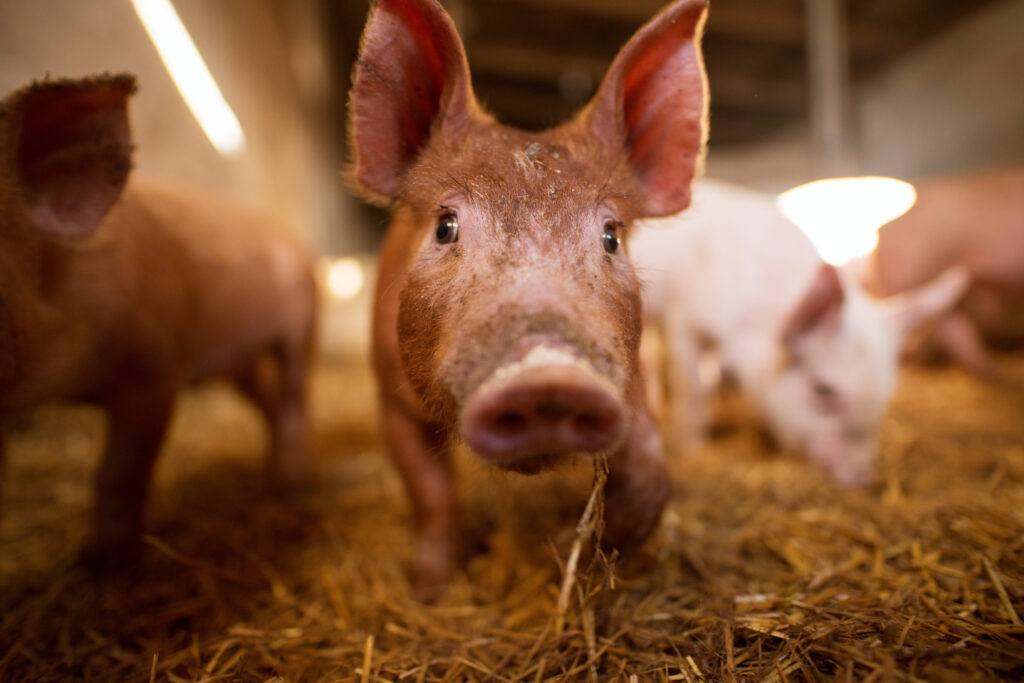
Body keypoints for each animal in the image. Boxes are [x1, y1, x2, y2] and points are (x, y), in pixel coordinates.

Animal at [0, 75, 317, 569]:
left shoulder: (154, 365)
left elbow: (118, 472)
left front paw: (106, 563)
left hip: (305, 323)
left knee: (295, 395)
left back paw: (291, 486)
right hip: (240, 363)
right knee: (267, 400)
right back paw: (268, 477)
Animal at [347, 0, 709, 597]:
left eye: (611, 235)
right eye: (445, 227)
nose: (548, 375)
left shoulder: (630, 372)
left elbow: (649, 469)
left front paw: (601, 547)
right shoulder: (388, 394)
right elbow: (430, 494)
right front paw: (432, 588)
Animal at [631, 179, 969, 486]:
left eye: (884, 396)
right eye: (823, 390)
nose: (865, 479)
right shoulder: (684, 320)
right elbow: (693, 388)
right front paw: (692, 448)